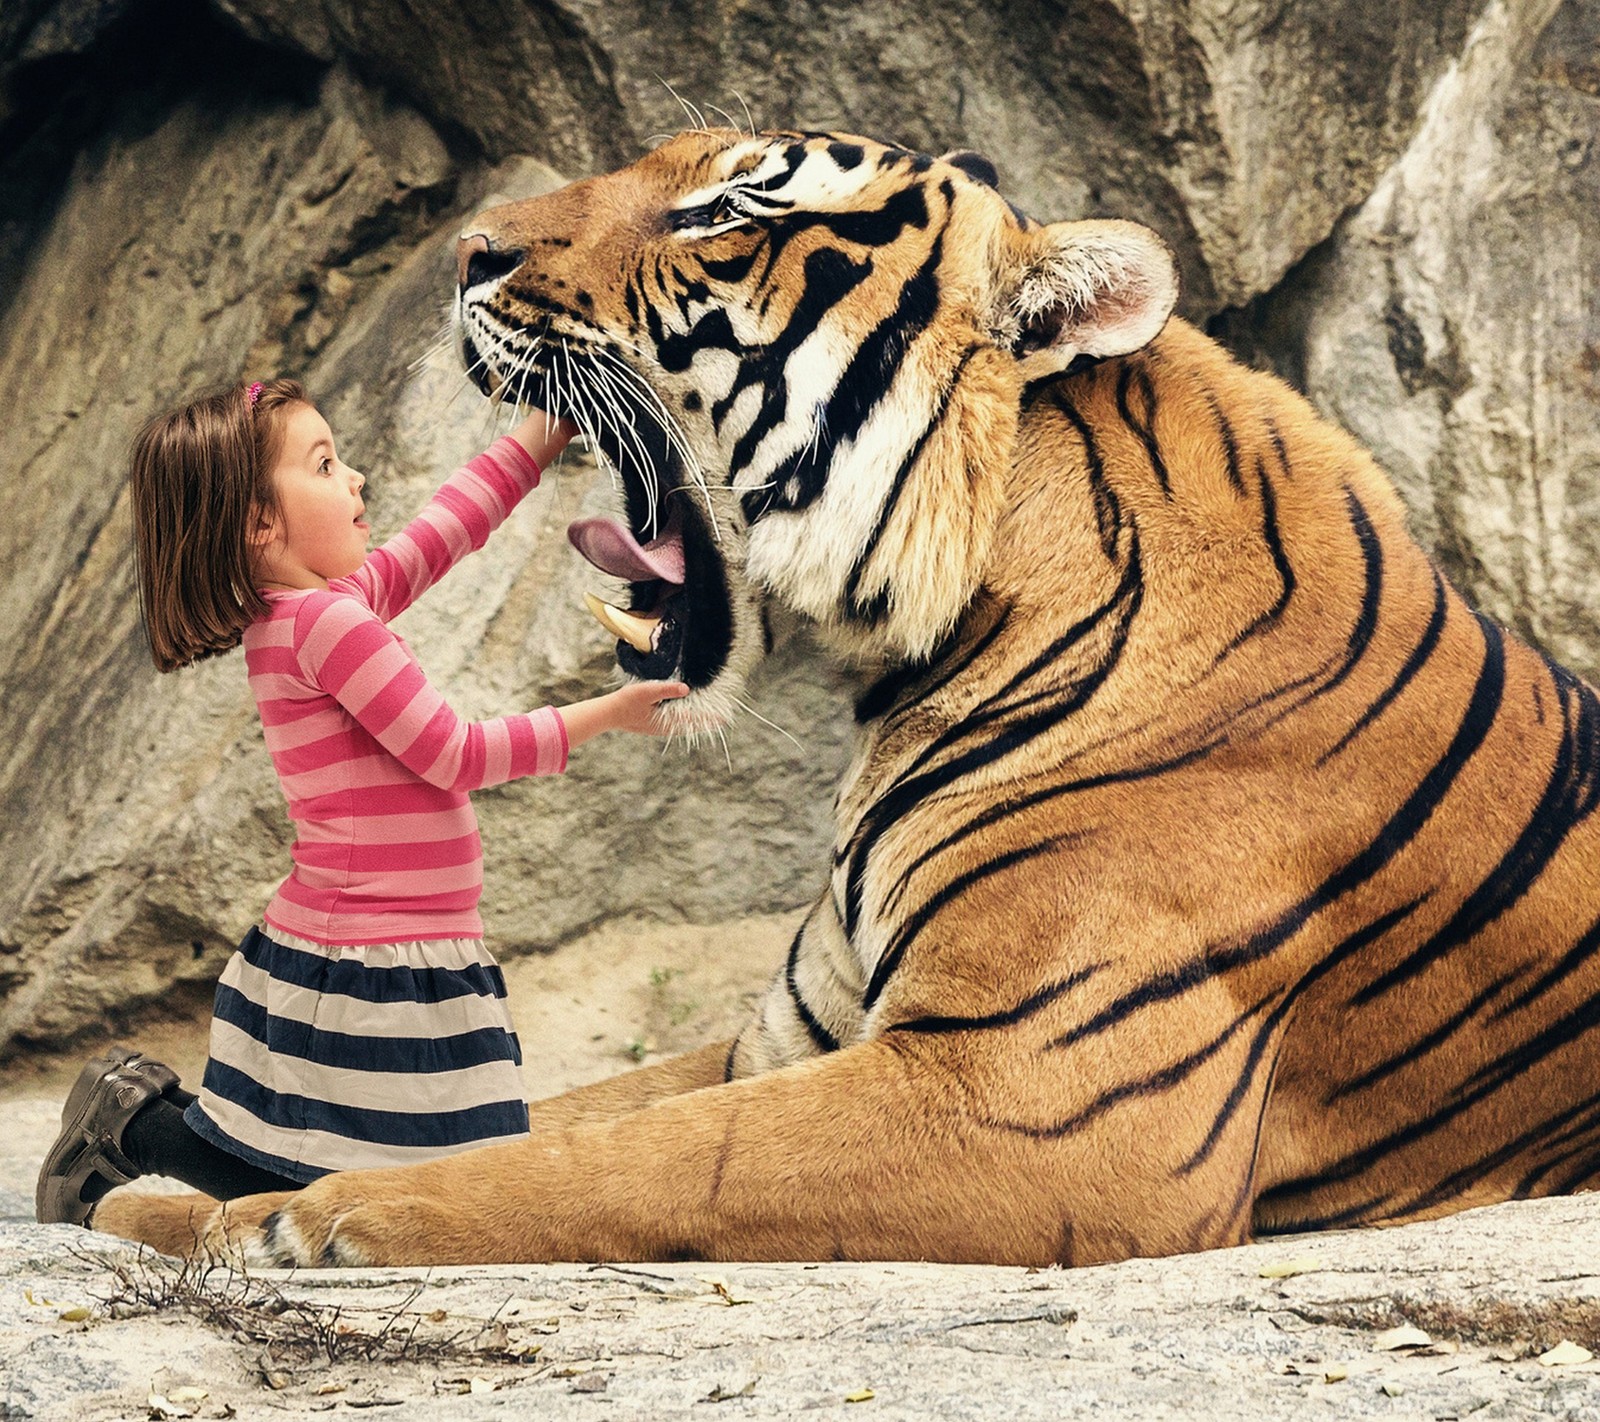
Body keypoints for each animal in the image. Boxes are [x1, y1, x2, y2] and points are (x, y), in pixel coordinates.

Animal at [100, 130, 1600, 1266]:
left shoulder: (1031, 1101)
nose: (469, 253)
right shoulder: (798, 1027)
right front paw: (177, 1201)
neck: (926, 656)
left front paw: (310, 1212)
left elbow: (646, 1157)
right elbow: (566, 1115)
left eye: (723, 209)